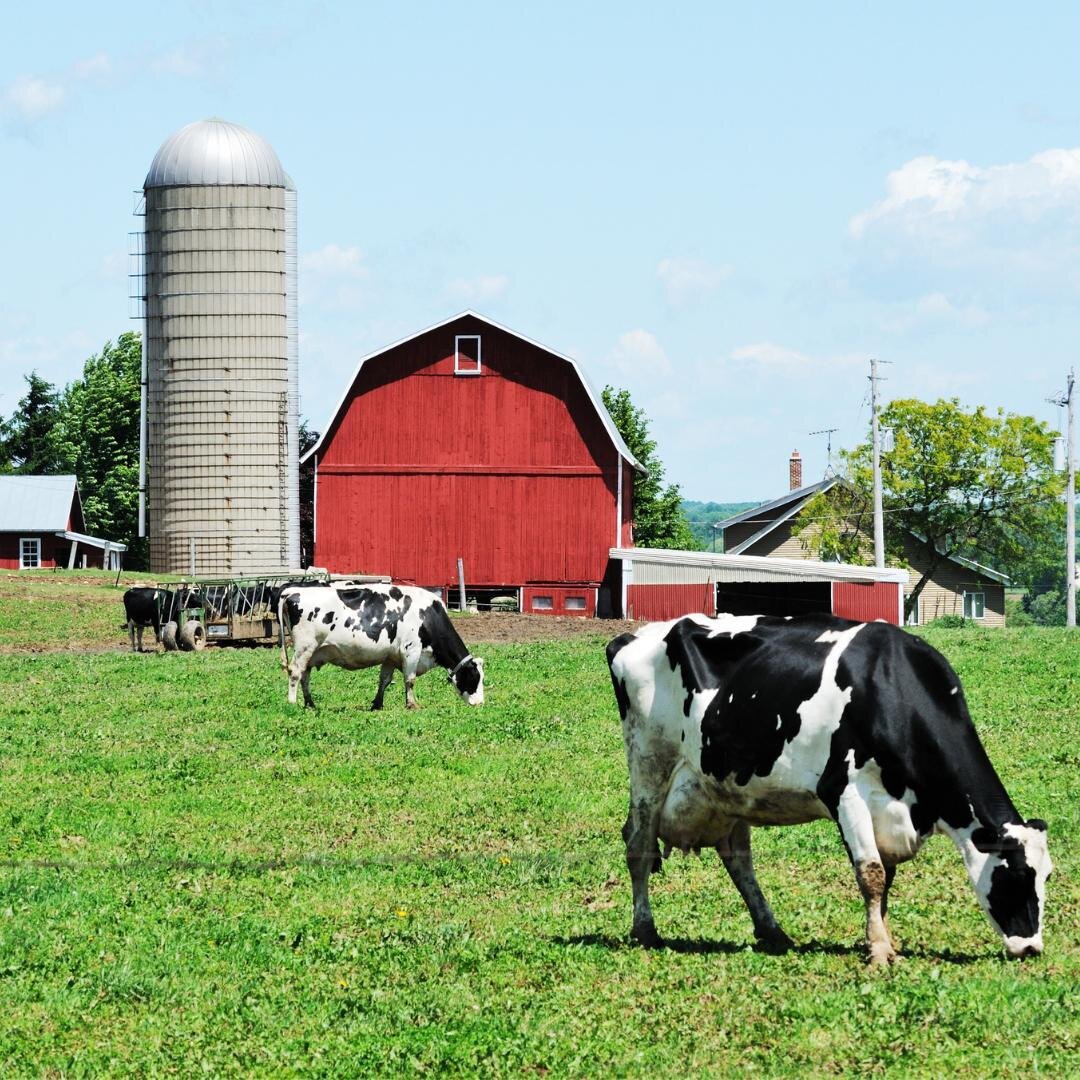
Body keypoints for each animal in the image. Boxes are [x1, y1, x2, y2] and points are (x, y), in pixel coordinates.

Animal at [278, 583, 486, 708]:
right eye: (474, 677)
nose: (480, 703)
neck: (428, 617)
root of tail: (292, 591)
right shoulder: (411, 650)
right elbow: (410, 680)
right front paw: (412, 705)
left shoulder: (391, 656)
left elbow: (384, 681)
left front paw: (377, 704)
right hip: (305, 646)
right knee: (295, 672)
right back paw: (292, 702)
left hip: (312, 651)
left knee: (305, 675)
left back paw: (310, 704)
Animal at [609, 613, 1054, 967]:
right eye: (1016, 873)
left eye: (1047, 875)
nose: (1031, 948)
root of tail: (633, 636)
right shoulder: (845, 790)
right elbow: (871, 874)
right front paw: (879, 952)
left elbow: (885, 878)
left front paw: (881, 940)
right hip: (649, 764)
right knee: (638, 845)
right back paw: (645, 930)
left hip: (727, 786)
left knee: (738, 860)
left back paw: (771, 931)